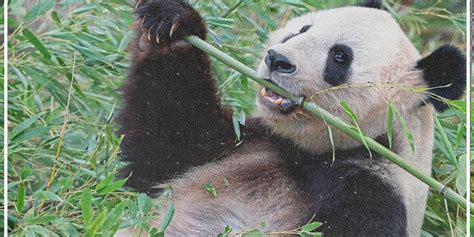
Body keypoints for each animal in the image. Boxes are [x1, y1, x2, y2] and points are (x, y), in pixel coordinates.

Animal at [116, 0, 464, 236]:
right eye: (302, 29)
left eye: (340, 57)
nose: (277, 59)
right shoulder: (250, 141)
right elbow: (164, 148)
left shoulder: (374, 194)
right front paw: (173, 24)